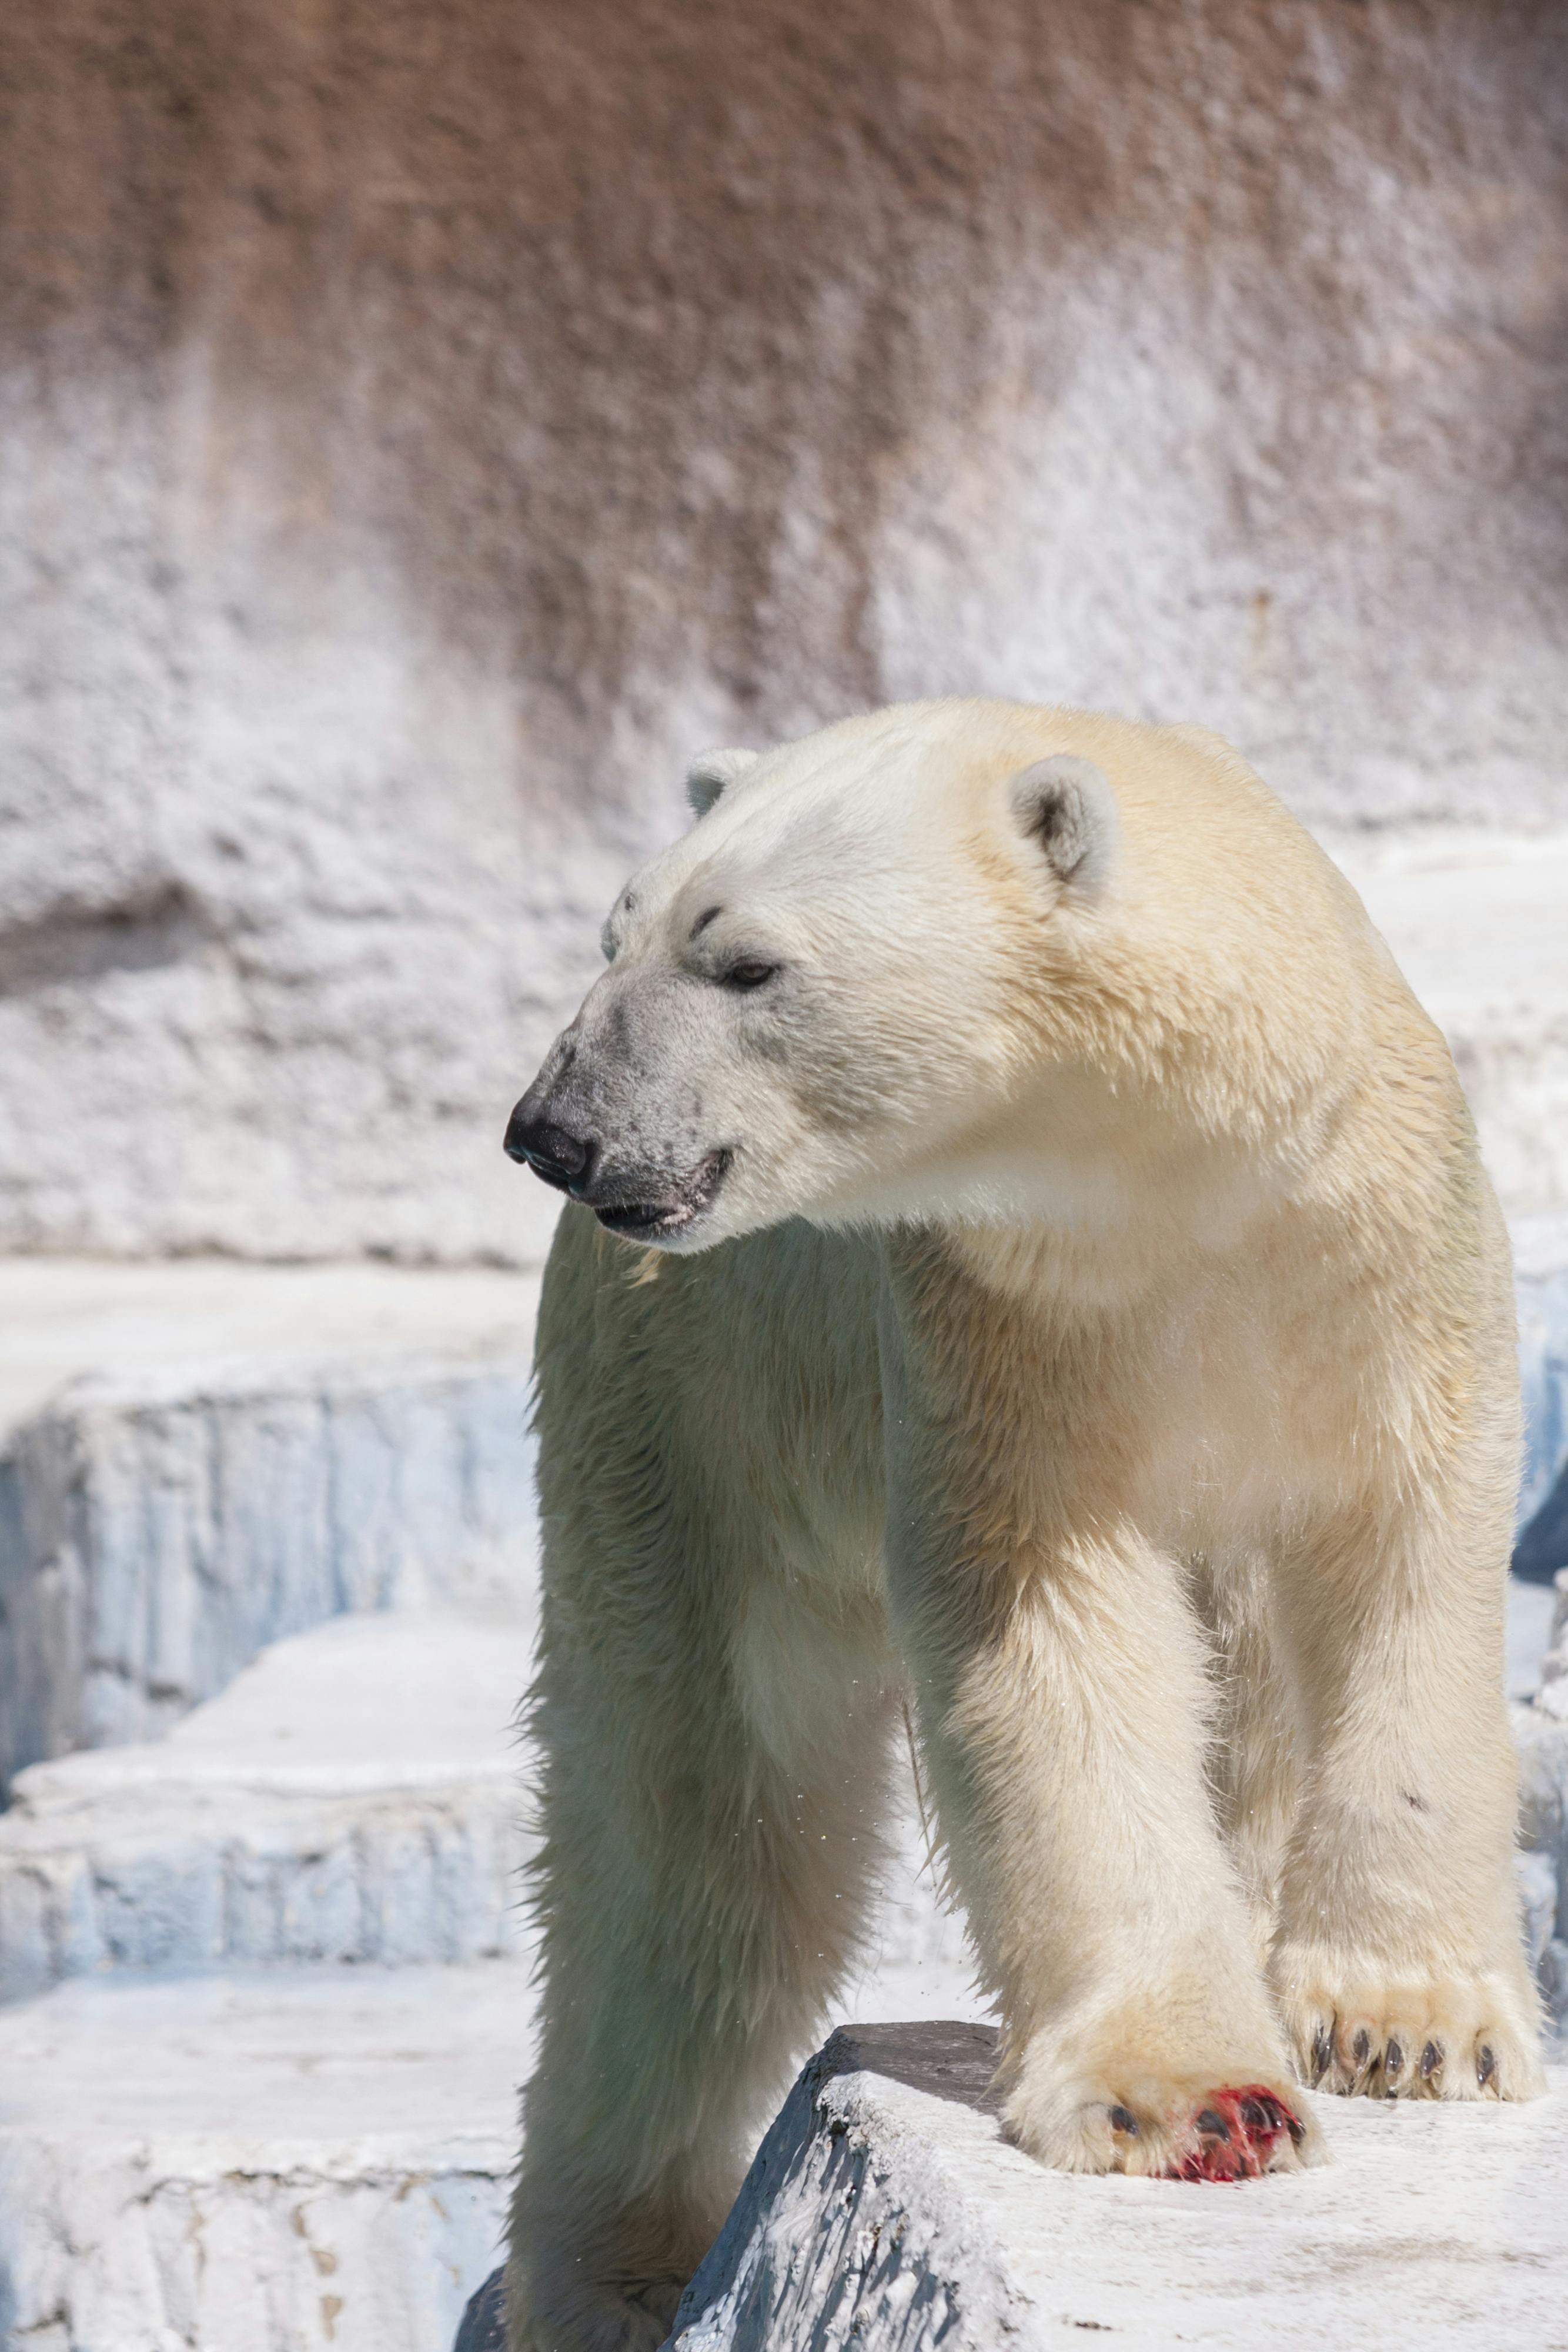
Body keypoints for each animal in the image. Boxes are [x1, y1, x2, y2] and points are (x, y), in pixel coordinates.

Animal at [500, 697, 1543, 2352]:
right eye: (616, 934)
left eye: (745, 963)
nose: (557, 1131)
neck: (1188, 1191)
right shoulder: (999, 1328)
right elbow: (1056, 1643)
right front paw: (1200, 2102)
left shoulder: (1381, 1273)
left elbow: (1403, 1576)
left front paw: (1405, 2030)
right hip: (691, 1421)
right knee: (694, 1856)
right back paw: (611, 2274)